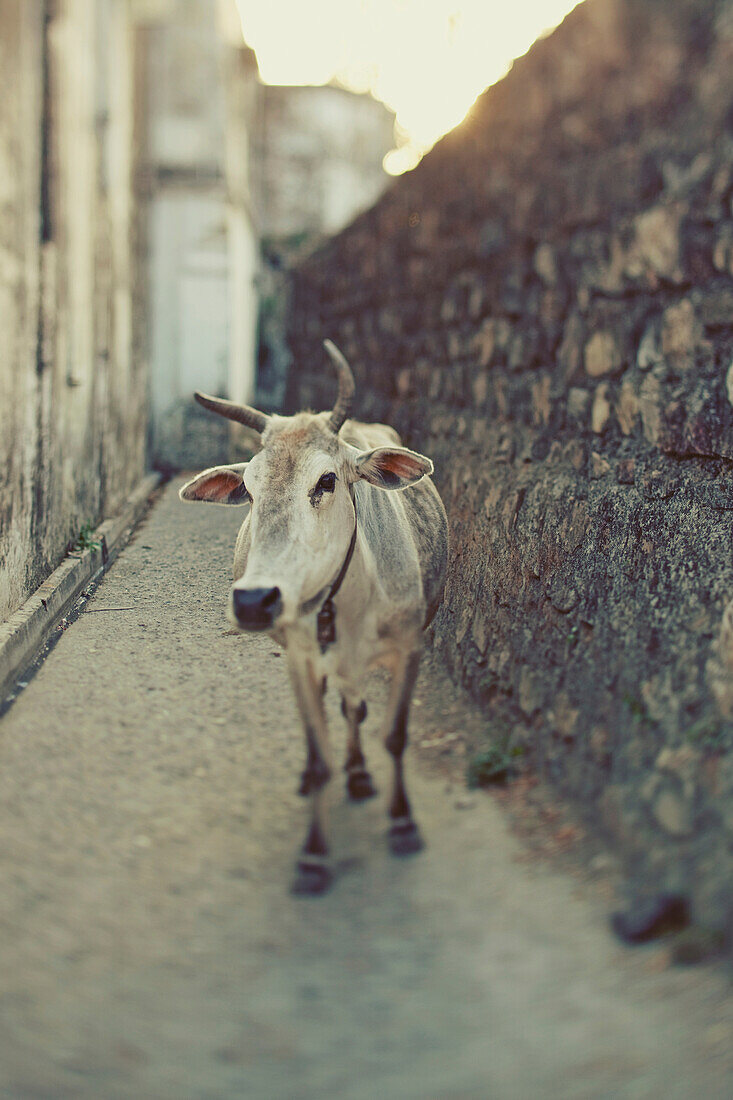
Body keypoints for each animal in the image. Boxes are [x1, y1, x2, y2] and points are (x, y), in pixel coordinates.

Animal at [179, 341, 449, 893]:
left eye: (326, 480)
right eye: (249, 489)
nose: (254, 601)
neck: (345, 605)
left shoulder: (408, 649)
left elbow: (392, 735)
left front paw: (403, 822)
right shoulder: (300, 658)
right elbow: (321, 749)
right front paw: (313, 854)